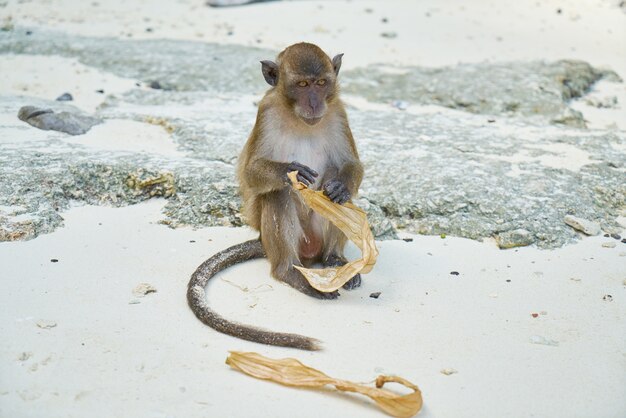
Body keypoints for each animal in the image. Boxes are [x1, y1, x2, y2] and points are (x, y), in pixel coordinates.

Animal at [186, 42, 360, 352]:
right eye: (302, 85)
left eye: (321, 83)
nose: (314, 103)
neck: (300, 120)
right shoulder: (265, 113)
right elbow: (252, 172)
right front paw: (289, 171)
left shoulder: (338, 112)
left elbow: (352, 168)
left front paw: (340, 187)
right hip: (286, 242)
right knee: (279, 195)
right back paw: (289, 272)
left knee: (335, 201)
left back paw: (334, 259)